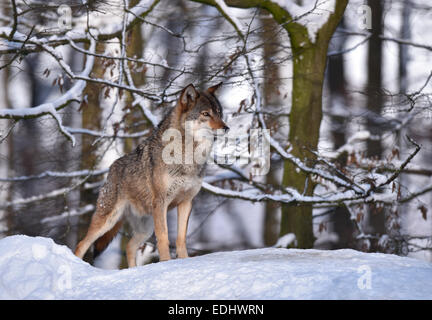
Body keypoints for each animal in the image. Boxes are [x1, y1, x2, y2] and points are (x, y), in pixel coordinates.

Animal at [74, 82, 230, 268]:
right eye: (206, 114)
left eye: (219, 113)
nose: (226, 128)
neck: (187, 155)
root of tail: (111, 168)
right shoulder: (161, 202)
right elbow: (163, 237)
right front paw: (166, 263)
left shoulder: (186, 202)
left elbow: (180, 239)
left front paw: (184, 262)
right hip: (108, 220)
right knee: (81, 244)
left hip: (145, 228)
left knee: (129, 247)